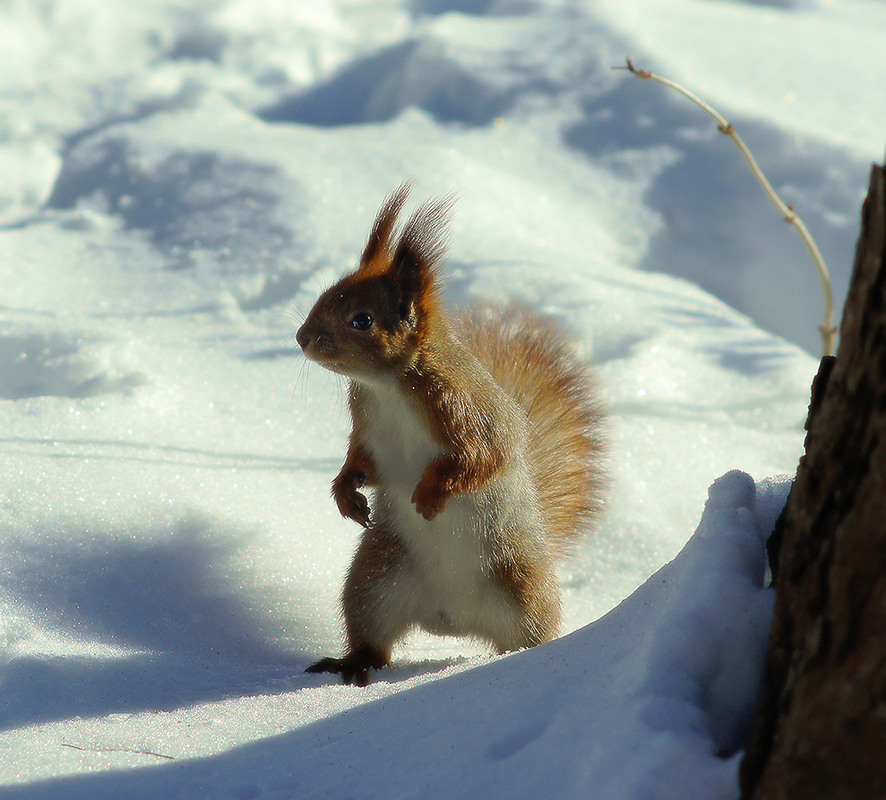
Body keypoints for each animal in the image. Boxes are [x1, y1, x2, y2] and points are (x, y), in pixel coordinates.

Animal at [296, 184, 604, 684]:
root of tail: (451, 620)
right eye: (326, 293)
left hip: (522, 588)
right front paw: (346, 493)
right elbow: (362, 462)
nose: (302, 337)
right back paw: (350, 664)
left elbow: (483, 459)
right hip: (374, 582)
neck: (388, 386)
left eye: (362, 319)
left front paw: (431, 495)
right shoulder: (367, 428)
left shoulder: (466, 410)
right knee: (373, 641)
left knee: (529, 635)